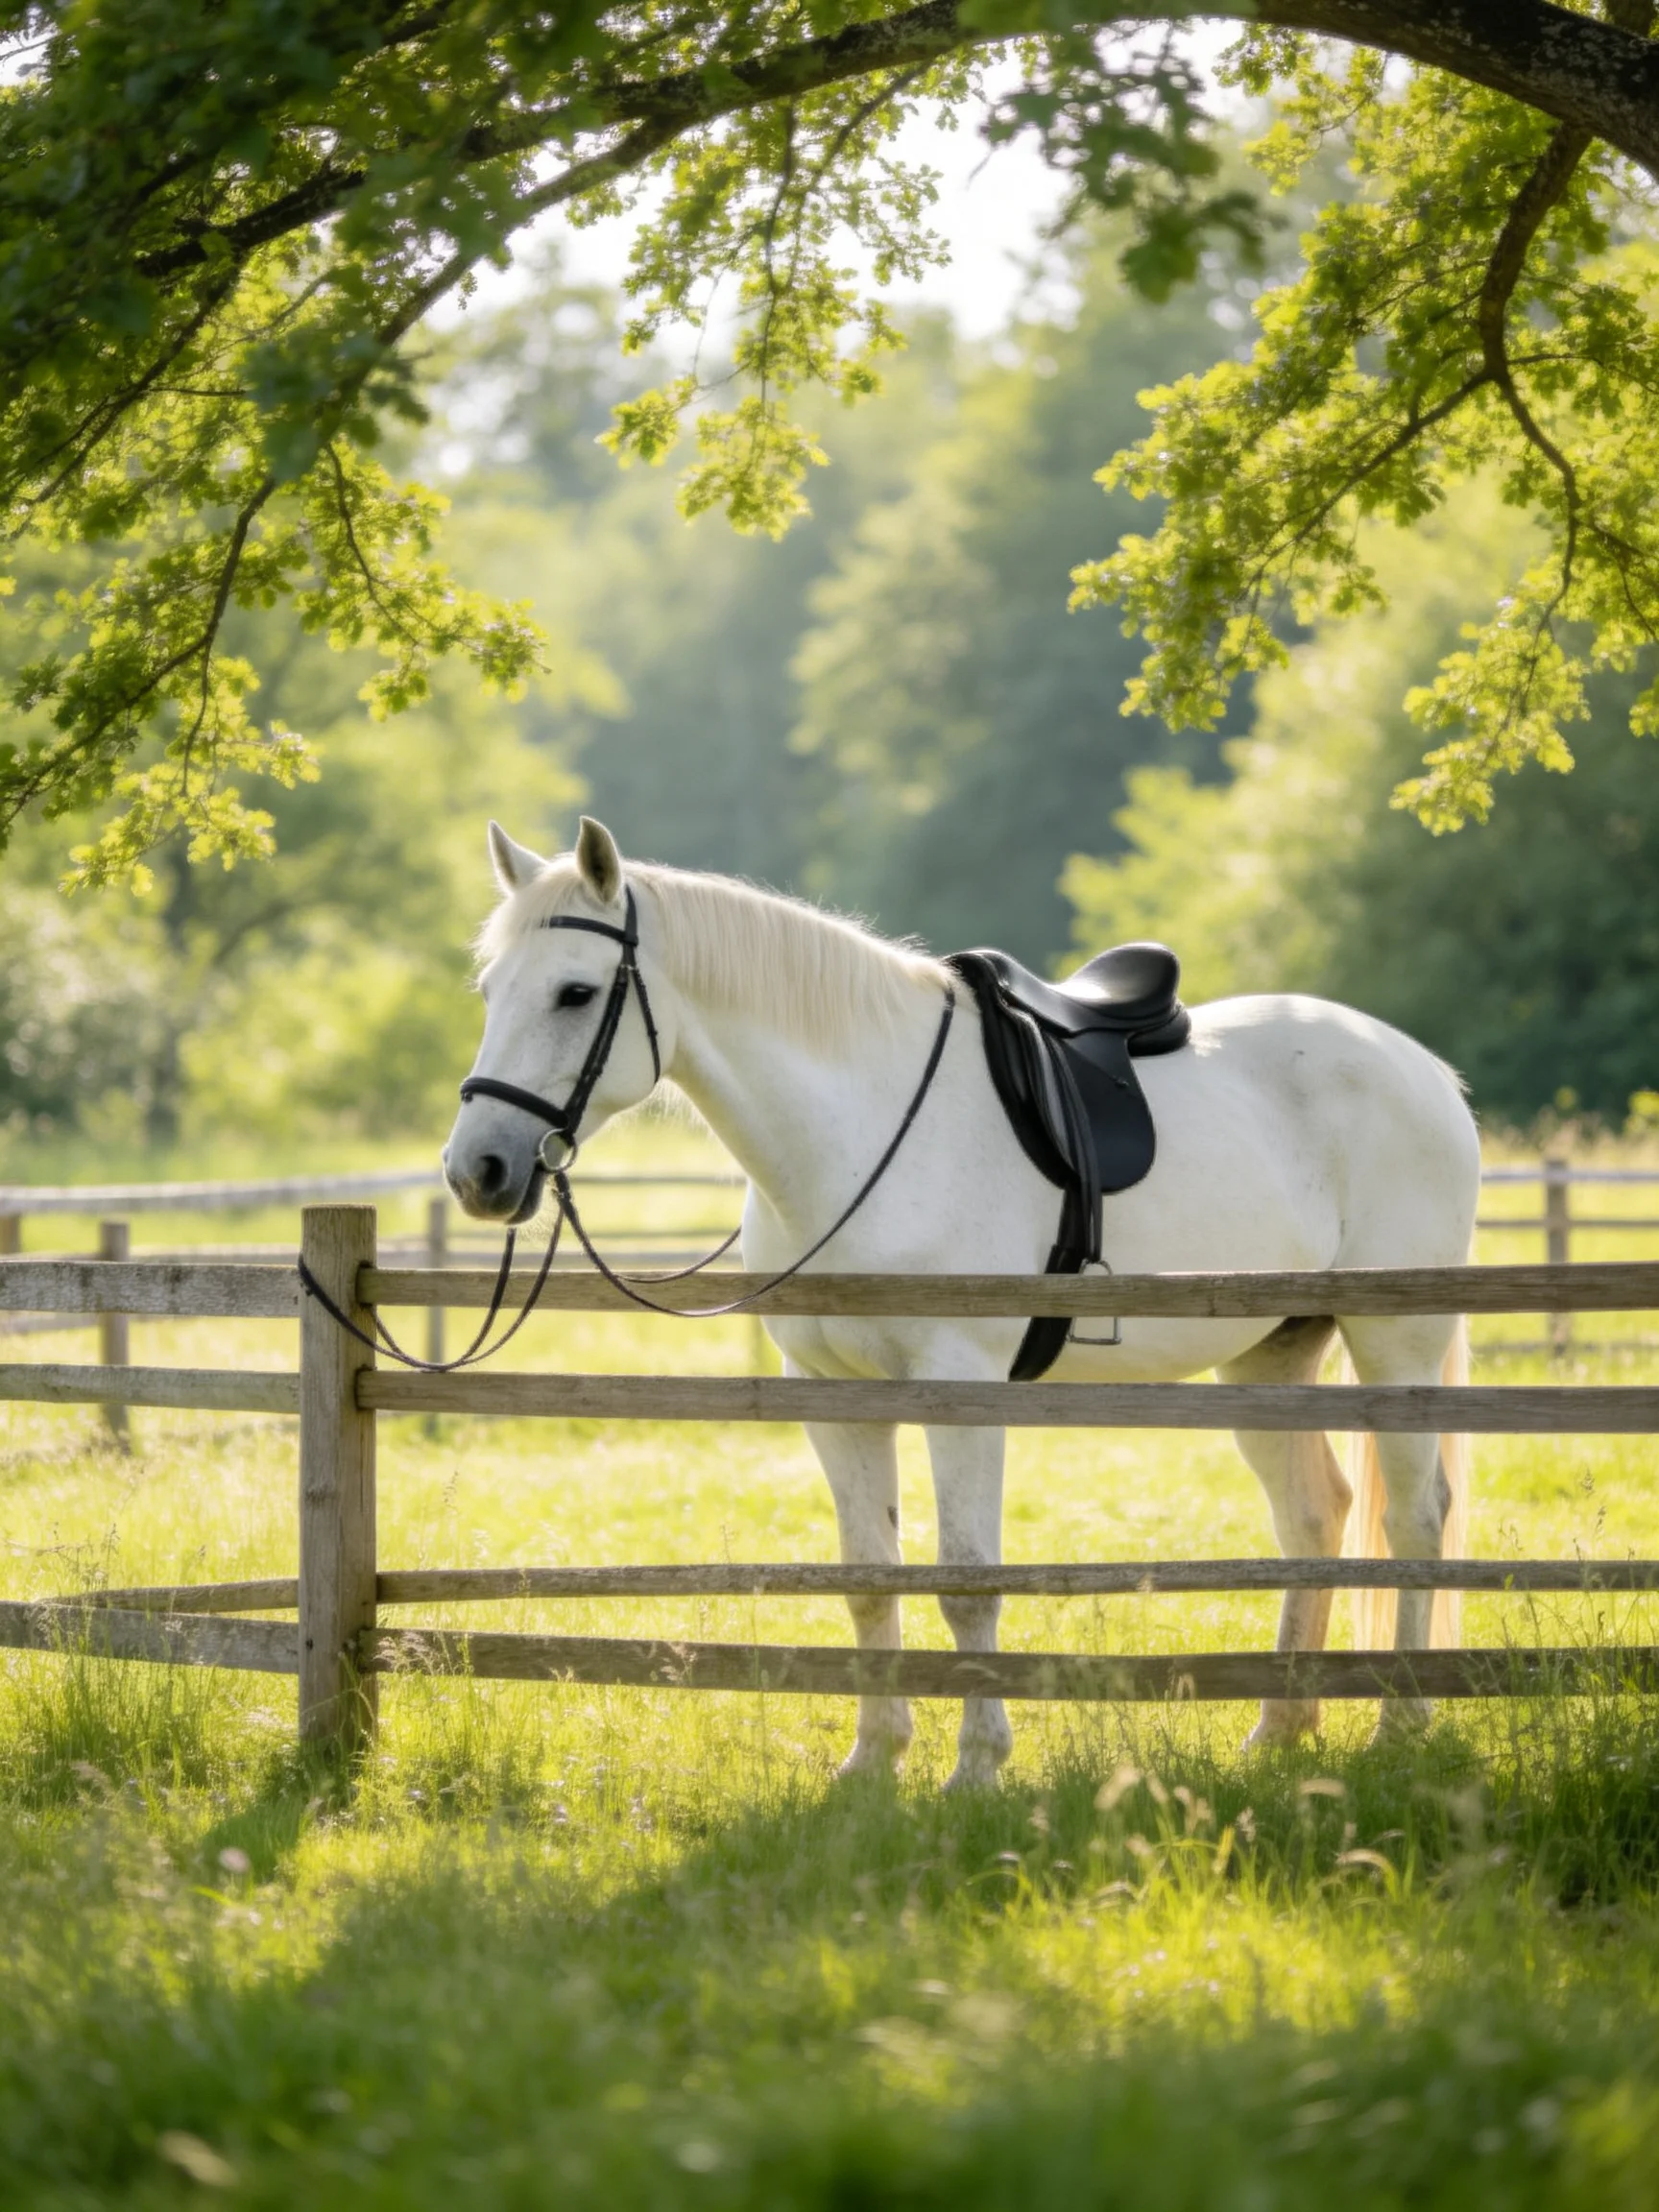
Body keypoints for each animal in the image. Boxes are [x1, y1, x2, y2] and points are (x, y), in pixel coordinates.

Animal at [444, 816, 1481, 1791]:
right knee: (1314, 1518)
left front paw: (977, 1765)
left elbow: (968, 1581)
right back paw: (1279, 1730)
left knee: (1414, 1517)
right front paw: (873, 1760)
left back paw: (1403, 1723)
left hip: (1396, 1346)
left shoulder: (959, 1387)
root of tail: (1424, 1068)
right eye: (489, 992)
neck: (861, 1130)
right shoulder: (832, 1394)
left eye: (576, 993)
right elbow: (871, 1581)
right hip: (1271, 1356)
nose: (478, 1171)